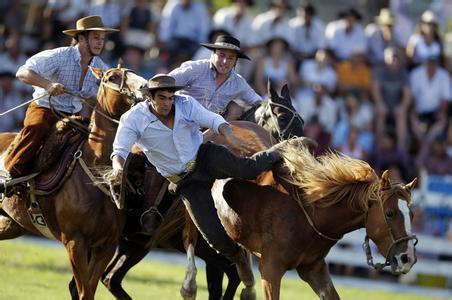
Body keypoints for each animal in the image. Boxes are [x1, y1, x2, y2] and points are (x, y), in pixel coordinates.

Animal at [0, 64, 147, 298]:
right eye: (112, 77)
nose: (145, 86)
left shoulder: (105, 246)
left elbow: (89, 290)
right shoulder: (75, 242)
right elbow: (84, 291)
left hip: (11, 224)